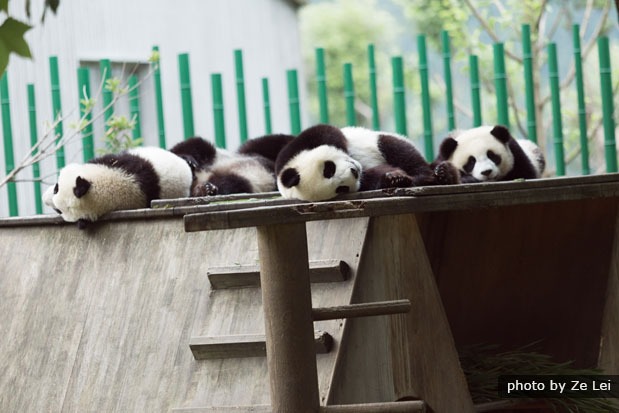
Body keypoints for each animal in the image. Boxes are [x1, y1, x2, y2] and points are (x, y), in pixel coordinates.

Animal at [274, 122, 452, 201]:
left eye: (328, 169)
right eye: (341, 189)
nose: (354, 171)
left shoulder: (293, 149)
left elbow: (328, 132)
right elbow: (372, 179)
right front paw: (394, 178)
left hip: (380, 140)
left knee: (399, 149)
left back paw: (431, 175)